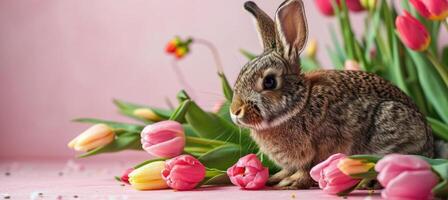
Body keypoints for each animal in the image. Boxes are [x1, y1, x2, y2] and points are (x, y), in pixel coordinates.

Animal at [231, 0, 434, 190]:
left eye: (269, 82)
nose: (234, 111)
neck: (299, 105)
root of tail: (428, 144)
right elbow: (288, 169)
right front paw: (276, 178)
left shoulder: (320, 149)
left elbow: (307, 170)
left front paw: (292, 182)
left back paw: (367, 183)